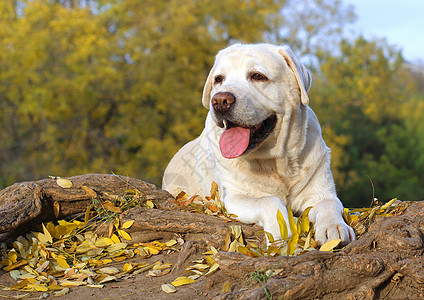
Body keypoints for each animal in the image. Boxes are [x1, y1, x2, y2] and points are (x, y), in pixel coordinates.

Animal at [162, 43, 354, 245]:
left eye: (257, 76)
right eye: (218, 79)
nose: (220, 101)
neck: (275, 164)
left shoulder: (320, 191)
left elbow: (329, 203)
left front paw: (334, 228)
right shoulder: (234, 197)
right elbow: (268, 200)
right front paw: (280, 230)